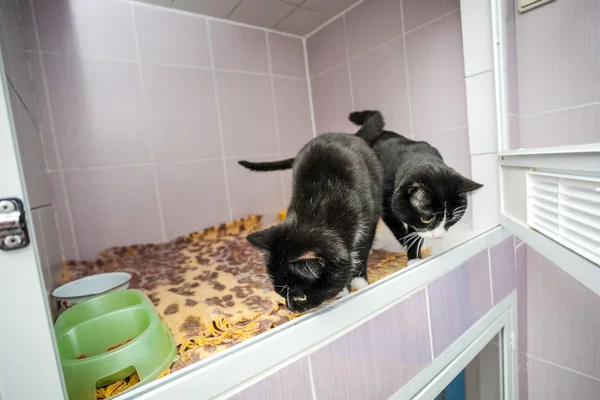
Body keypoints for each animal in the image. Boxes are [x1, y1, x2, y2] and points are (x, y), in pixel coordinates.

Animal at [239, 111, 482, 264]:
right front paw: (413, 256)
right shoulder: (387, 203)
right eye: (427, 218)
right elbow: (403, 229)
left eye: (452, 219)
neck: (418, 156)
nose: (439, 236)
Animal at [244, 113, 384, 312]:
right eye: (279, 293)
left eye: (301, 296)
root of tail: (349, 135)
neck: (316, 209)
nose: (291, 309)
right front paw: (343, 288)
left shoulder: (368, 215)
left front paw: (358, 279)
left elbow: (363, 244)